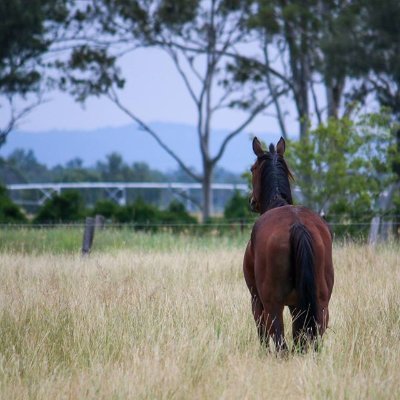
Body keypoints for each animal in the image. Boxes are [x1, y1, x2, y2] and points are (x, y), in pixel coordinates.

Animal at [244, 137, 334, 350]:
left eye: (252, 169)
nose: (252, 201)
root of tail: (297, 225)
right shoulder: (297, 306)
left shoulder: (256, 300)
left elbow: (262, 333)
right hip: (320, 305)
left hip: (272, 306)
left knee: (280, 343)